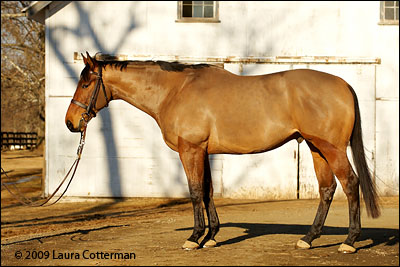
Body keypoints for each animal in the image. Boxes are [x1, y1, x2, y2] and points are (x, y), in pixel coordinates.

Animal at [64, 51, 380, 253]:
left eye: (86, 83)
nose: (71, 123)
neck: (174, 91)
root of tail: (344, 84)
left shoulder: (189, 149)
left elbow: (194, 191)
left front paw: (194, 238)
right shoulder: (203, 151)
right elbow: (207, 191)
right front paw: (211, 236)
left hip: (331, 148)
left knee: (350, 184)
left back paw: (349, 241)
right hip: (317, 148)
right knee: (327, 189)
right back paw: (308, 238)